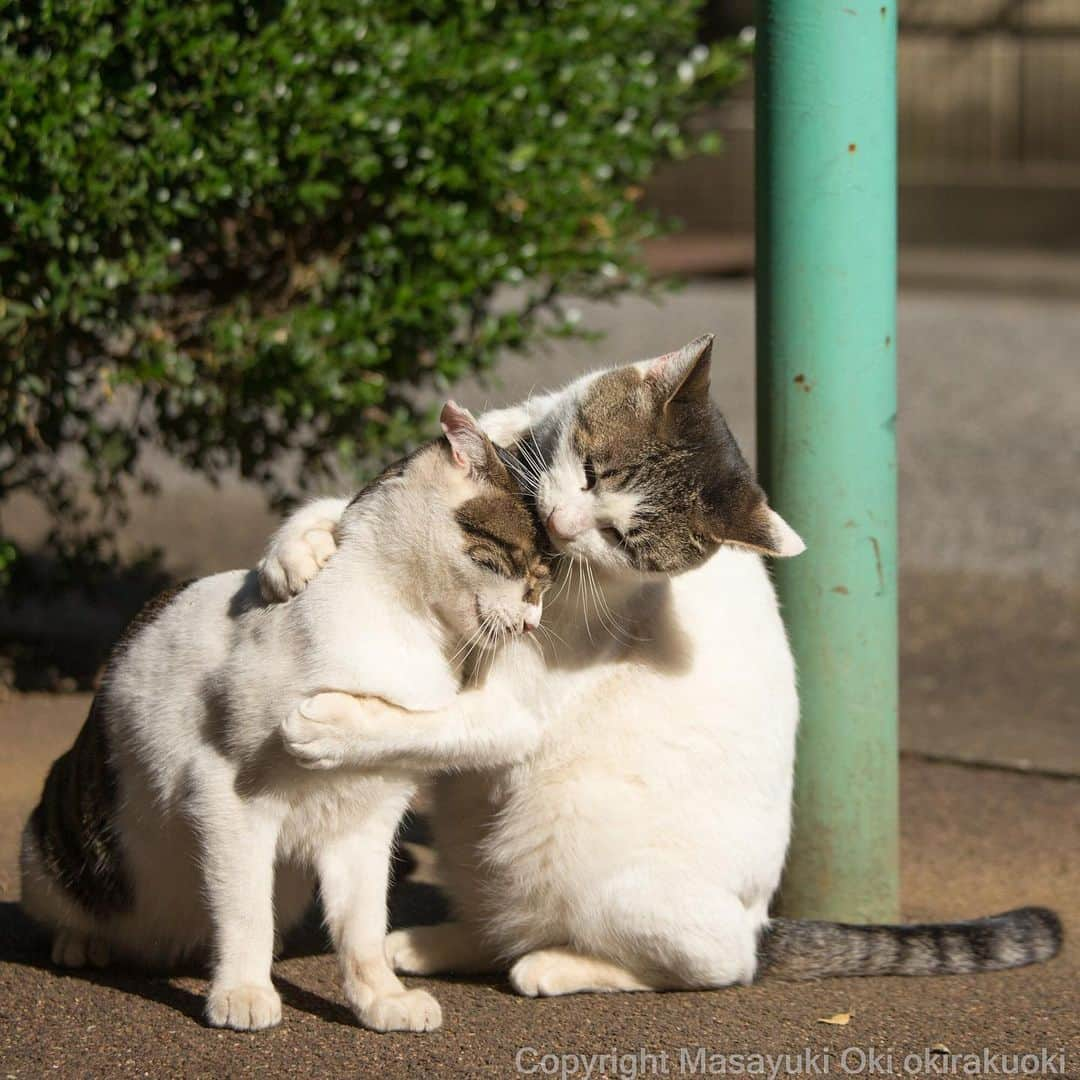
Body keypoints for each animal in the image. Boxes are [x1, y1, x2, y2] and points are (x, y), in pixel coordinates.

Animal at [19, 403, 548, 1028]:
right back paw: (84, 943)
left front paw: (381, 999)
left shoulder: (366, 820)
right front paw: (244, 992)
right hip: (46, 849)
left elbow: (363, 930)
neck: (408, 634)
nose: (534, 622)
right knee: (72, 909)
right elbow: (247, 911)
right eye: (528, 566)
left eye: (546, 582)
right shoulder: (227, 795)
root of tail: (156, 950)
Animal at [270, 334, 1062, 993]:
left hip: (601, 864)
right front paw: (297, 550)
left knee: (706, 967)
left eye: (626, 540)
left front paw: (328, 725)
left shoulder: (509, 709)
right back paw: (429, 943)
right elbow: (333, 512)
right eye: (592, 471)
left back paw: (552, 966)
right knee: (499, 922)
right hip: (478, 850)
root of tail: (762, 924)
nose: (562, 526)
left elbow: (420, 719)